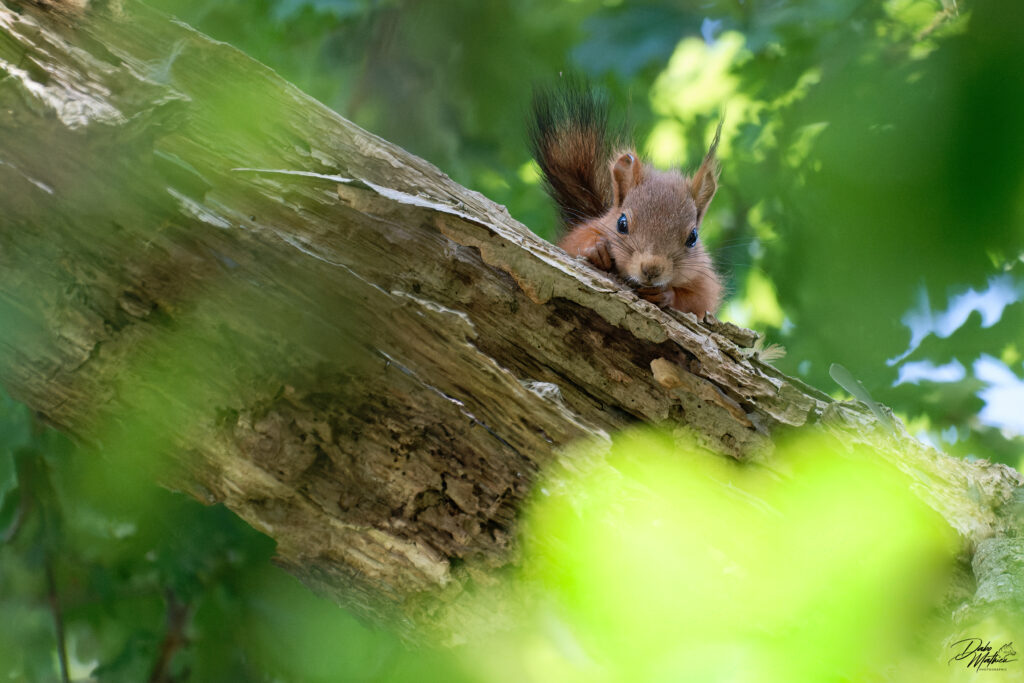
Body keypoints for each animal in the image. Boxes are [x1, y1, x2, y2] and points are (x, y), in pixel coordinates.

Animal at [529, 83, 724, 316]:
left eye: (693, 237)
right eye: (621, 224)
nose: (651, 269)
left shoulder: (703, 278)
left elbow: (699, 300)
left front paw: (666, 294)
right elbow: (573, 242)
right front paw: (595, 248)